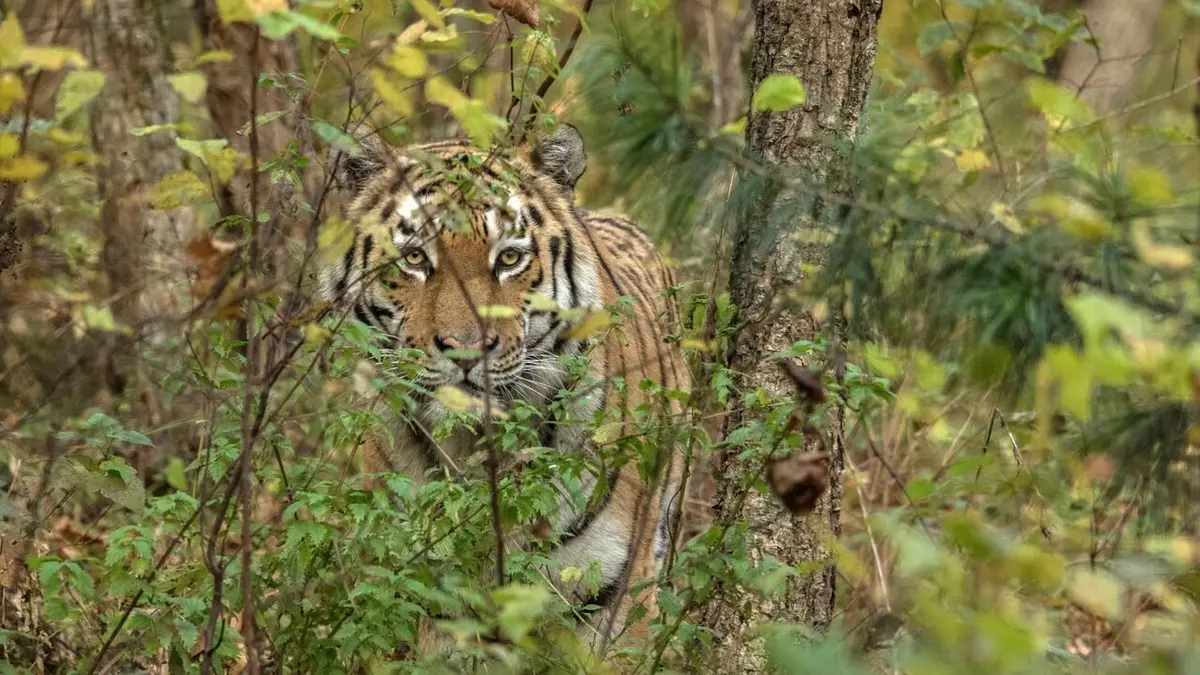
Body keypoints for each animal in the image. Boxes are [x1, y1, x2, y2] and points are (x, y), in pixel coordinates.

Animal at [318, 124, 696, 656]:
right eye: (415, 257)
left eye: (510, 258)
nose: (466, 349)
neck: (477, 453)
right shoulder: (424, 594)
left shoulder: (609, 594)